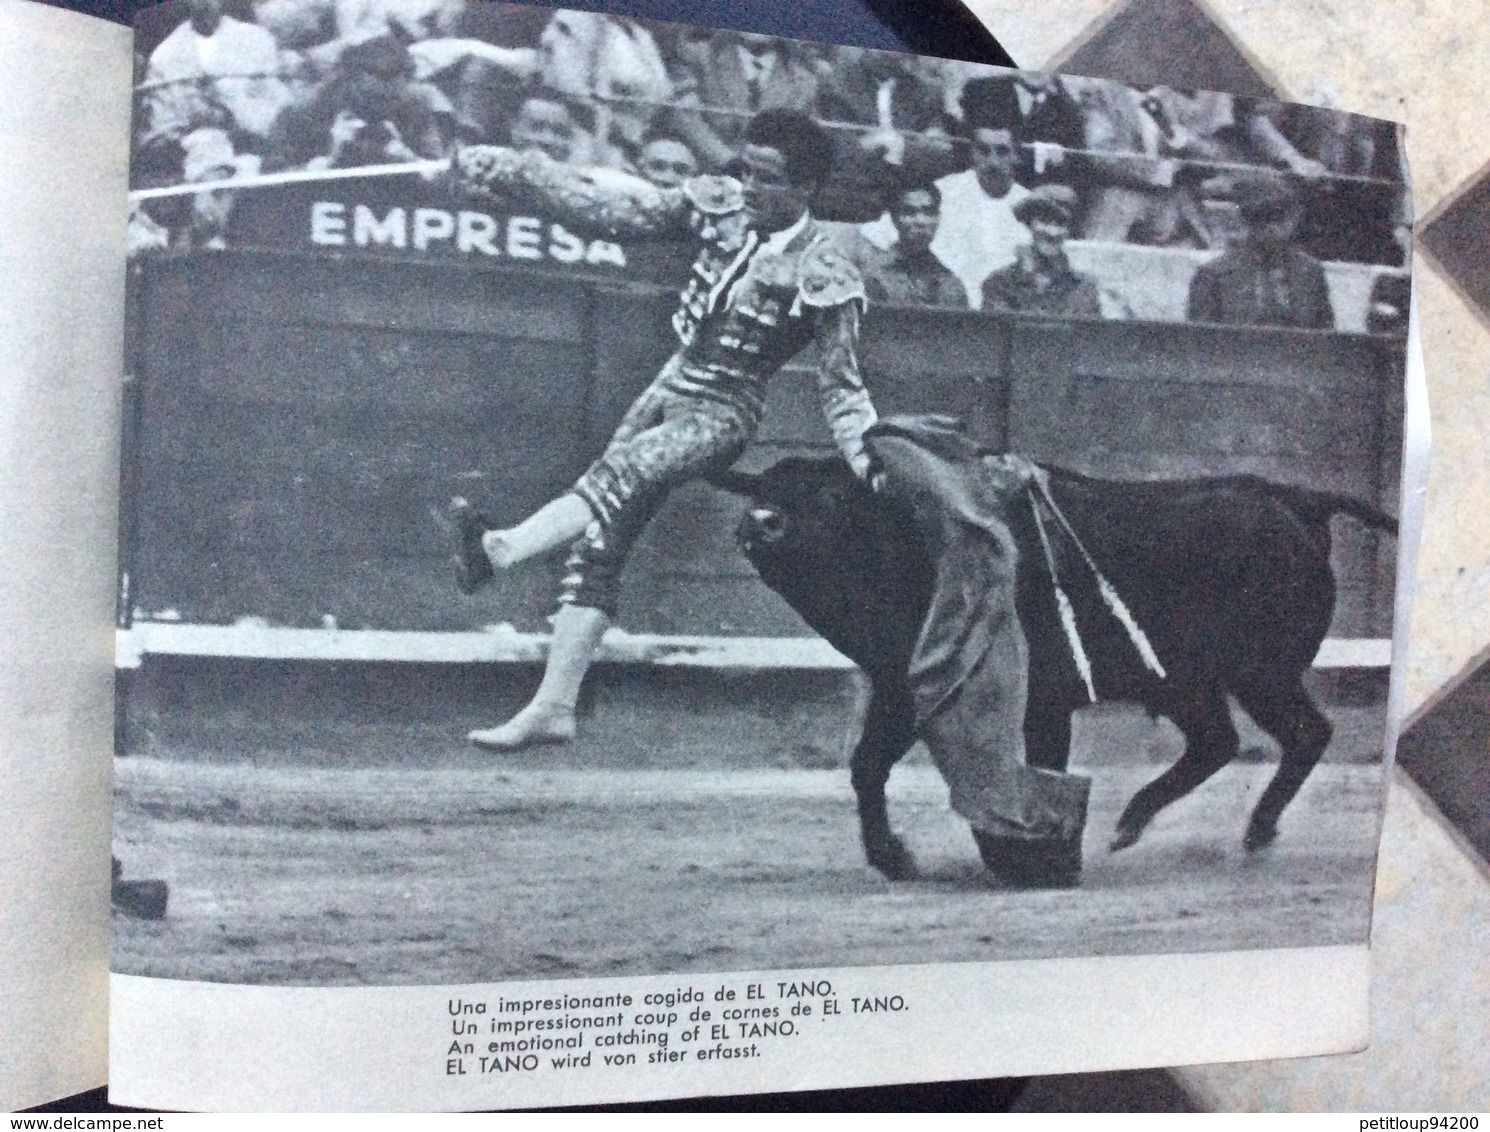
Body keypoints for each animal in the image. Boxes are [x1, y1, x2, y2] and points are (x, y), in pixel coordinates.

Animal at [715, 455, 1400, 881]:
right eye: (762, 490)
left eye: (831, 497)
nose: (760, 524)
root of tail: (1295, 500)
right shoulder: (904, 688)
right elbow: (867, 765)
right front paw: (893, 859)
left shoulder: (1042, 700)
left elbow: (1039, 765)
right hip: (1194, 682)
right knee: (1219, 742)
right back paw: (1135, 824)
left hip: (1262, 673)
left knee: (1304, 733)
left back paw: (1252, 832)